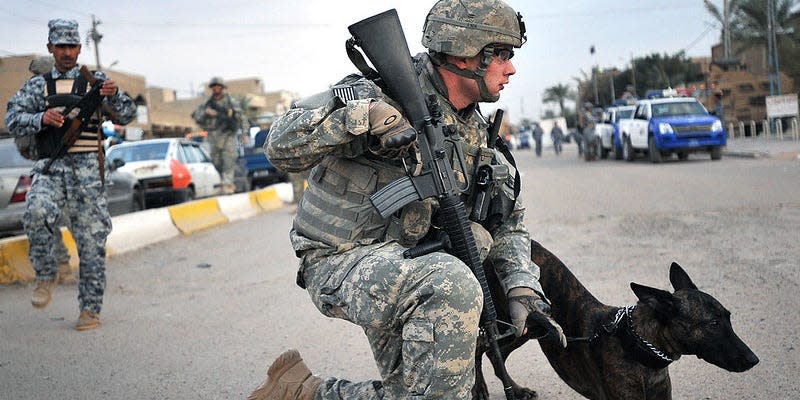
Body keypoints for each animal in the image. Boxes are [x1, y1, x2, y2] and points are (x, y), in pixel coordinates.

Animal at [476, 241, 756, 400]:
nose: (754, 359)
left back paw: (515, 389)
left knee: (494, 352)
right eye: (713, 324)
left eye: (728, 318)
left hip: (528, 327)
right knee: (480, 346)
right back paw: (480, 388)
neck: (638, 345)